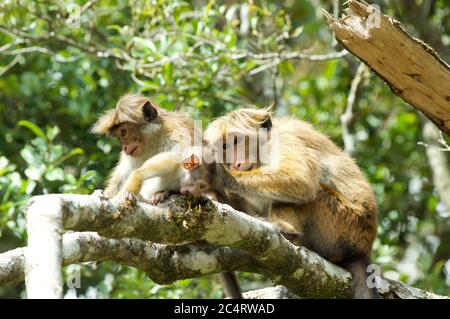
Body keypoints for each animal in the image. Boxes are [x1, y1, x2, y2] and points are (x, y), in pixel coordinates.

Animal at [183, 108, 380, 300]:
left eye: (236, 141)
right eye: (224, 147)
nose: (234, 163)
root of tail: (364, 246)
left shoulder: (285, 138)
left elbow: (302, 180)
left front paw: (220, 176)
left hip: (344, 223)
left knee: (310, 192)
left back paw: (287, 231)